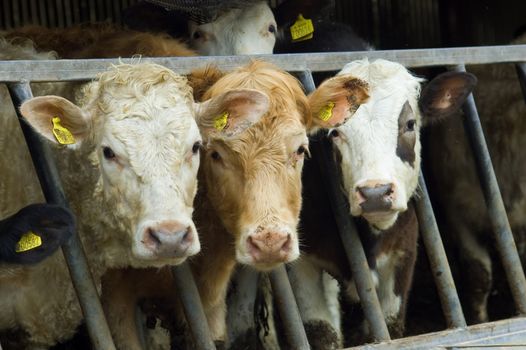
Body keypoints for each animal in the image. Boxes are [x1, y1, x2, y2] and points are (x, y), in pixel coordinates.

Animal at [292, 58, 478, 348]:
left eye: (410, 124)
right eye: (335, 133)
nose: (375, 193)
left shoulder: (403, 254)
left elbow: (389, 325)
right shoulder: (303, 261)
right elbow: (321, 333)